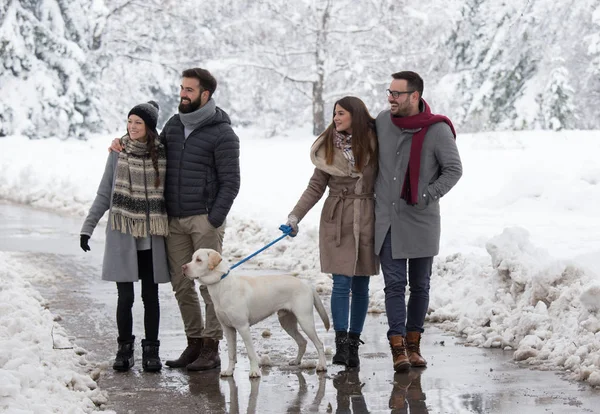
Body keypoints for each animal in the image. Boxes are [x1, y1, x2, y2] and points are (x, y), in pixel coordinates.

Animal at [184, 247, 332, 376]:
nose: (183, 267)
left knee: (319, 344)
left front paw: (254, 372)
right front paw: (229, 371)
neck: (220, 285)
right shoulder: (228, 329)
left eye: (199, 260)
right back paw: (296, 361)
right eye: (191, 258)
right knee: (302, 342)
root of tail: (307, 285)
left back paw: (322, 366)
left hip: (305, 320)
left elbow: (250, 353)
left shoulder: (243, 327)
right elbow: (231, 353)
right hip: (287, 322)